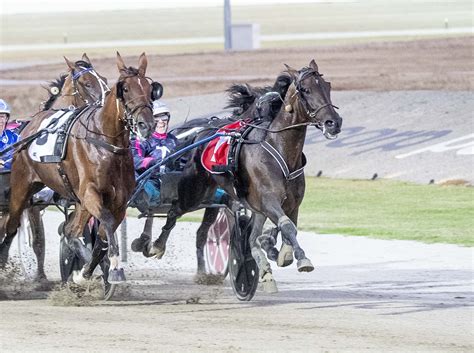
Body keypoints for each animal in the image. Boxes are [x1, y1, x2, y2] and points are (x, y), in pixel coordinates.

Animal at [139, 59, 342, 292]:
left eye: (327, 86)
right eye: (306, 90)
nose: (334, 122)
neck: (279, 149)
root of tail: (201, 134)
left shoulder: (289, 203)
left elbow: (283, 229)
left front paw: (278, 252)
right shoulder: (268, 199)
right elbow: (286, 227)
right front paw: (300, 258)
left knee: (207, 231)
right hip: (194, 191)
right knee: (174, 212)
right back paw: (155, 245)